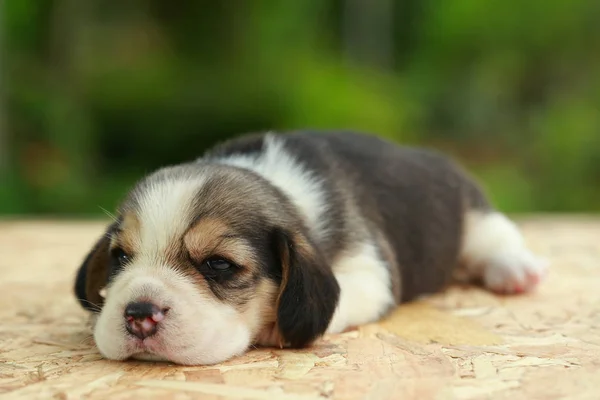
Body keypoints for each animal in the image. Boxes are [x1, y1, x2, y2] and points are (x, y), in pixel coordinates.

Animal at [72, 130, 548, 366]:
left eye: (219, 265)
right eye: (120, 257)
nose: (138, 314)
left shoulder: (370, 270)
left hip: (474, 214)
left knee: (497, 236)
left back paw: (516, 270)